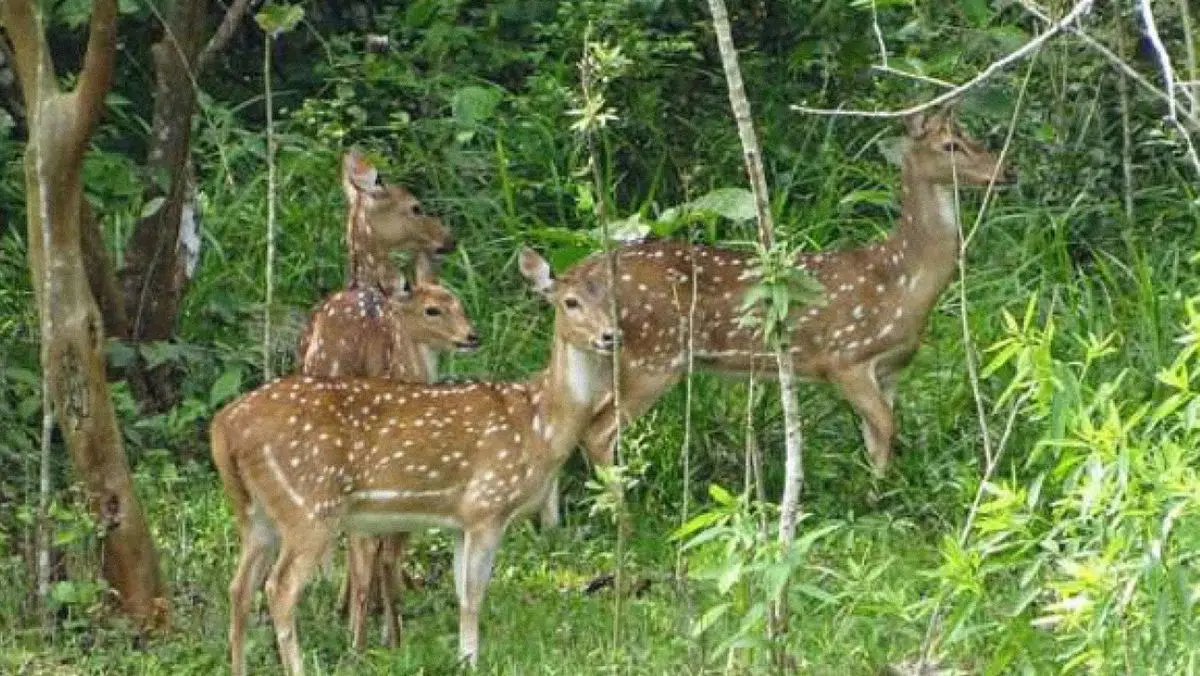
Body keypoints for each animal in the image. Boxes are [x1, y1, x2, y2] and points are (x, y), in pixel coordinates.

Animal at [542, 108, 1013, 522]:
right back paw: (626, 518)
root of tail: (577, 274)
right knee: (598, 431)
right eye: (950, 145)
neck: (901, 279)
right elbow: (886, 426)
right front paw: (874, 500)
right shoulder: (844, 356)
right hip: (653, 357)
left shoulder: (890, 370)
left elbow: (876, 435)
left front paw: (882, 491)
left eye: (975, 137)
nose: (1007, 171)